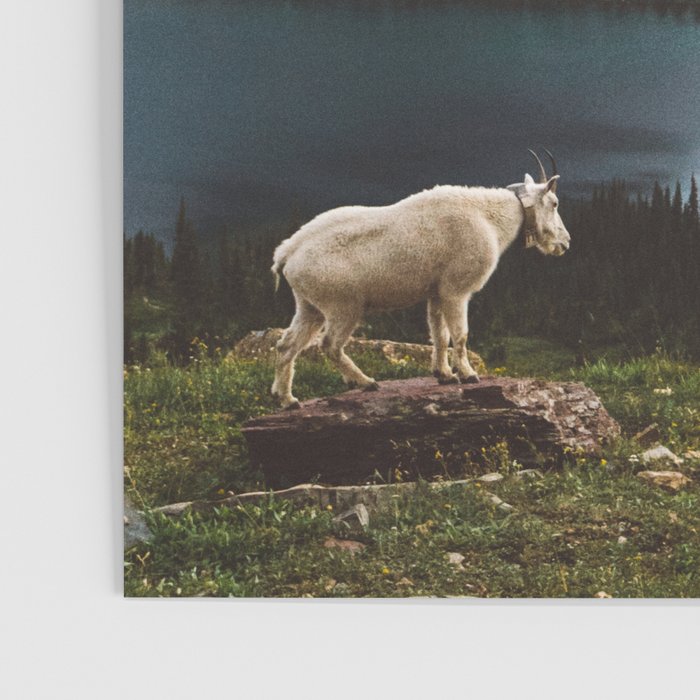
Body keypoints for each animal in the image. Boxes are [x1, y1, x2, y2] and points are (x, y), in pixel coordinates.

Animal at [271, 150, 570, 409]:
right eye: (555, 203)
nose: (565, 243)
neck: (489, 218)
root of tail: (287, 253)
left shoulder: (437, 292)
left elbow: (439, 334)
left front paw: (444, 375)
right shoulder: (456, 290)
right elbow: (460, 334)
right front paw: (469, 374)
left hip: (309, 305)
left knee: (287, 345)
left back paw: (287, 399)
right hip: (342, 305)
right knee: (330, 344)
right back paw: (366, 382)